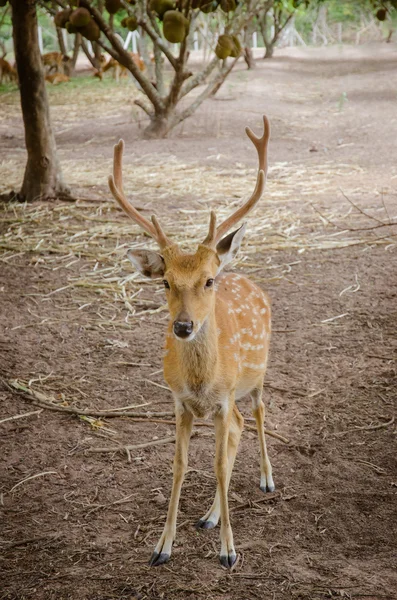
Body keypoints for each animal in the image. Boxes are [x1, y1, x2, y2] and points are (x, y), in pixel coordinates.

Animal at [109, 116, 276, 568]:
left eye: (208, 280)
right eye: (166, 282)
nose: (183, 326)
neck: (203, 383)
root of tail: (246, 275)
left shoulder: (223, 398)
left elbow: (217, 464)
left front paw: (229, 552)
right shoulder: (179, 402)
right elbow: (180, 465)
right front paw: (162, 546)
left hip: (257, 374)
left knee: (256, 414)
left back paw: (267, 480)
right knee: (238, 429)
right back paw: (210, 515)